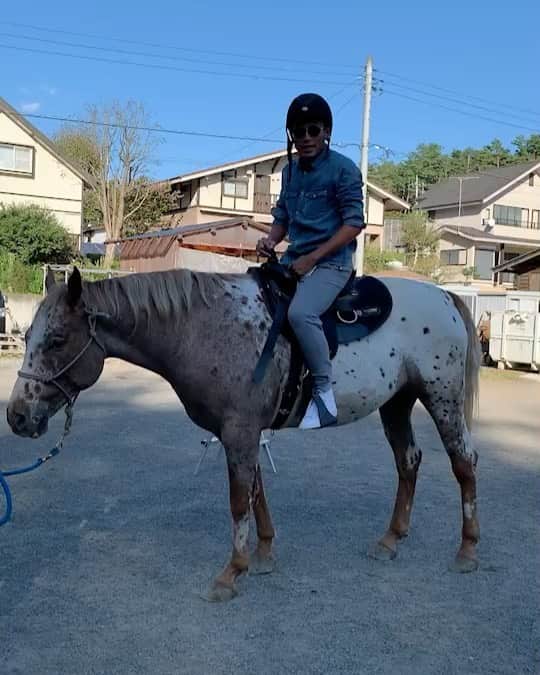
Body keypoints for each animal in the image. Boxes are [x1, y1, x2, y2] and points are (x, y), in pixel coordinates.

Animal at [7, 266, 481, 602]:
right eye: (28, 336)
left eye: (58, 339)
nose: (17, 416)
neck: (202, 329)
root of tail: (444, 297)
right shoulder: (244, 431)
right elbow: (255, 492)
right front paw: (264, 554)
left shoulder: (239, 430)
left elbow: (238, 500)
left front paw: (231, 573)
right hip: (397, 403)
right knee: (409, 461)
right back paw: (391, 538)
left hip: (442, 398)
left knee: (464, 463)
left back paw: (467, 550)